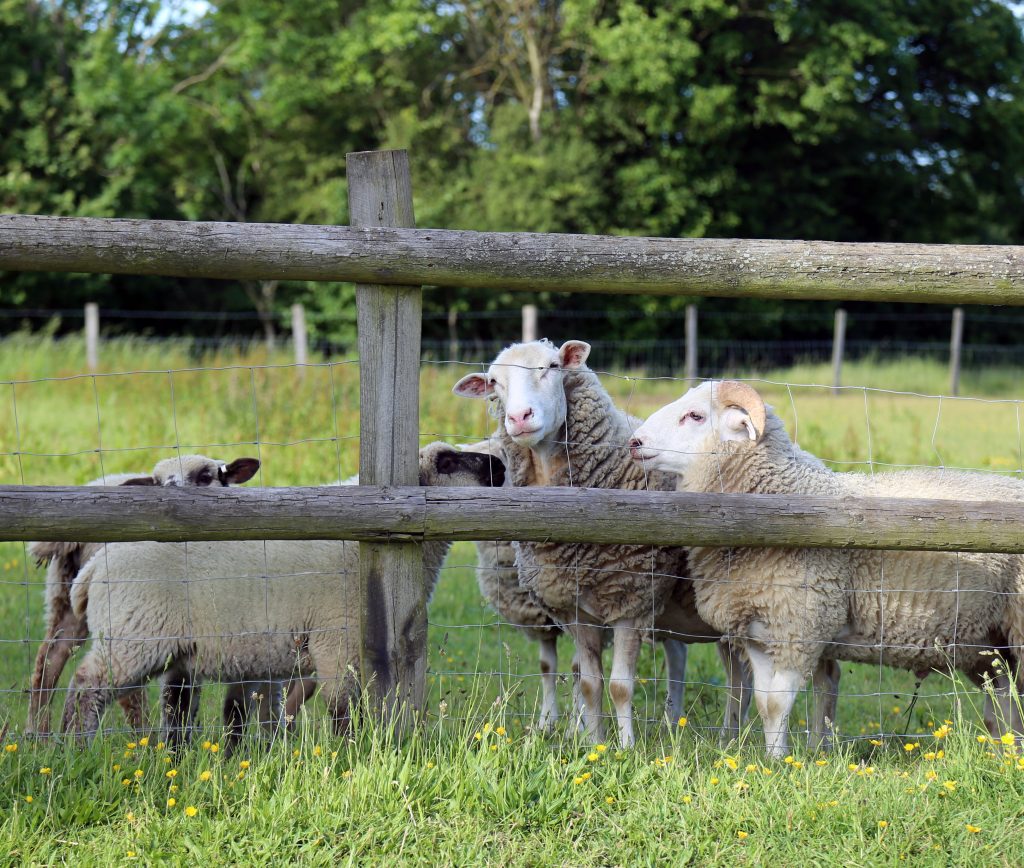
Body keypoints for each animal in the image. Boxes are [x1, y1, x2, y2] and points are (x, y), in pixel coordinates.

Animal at [26, 455, 260, 737]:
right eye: (157, 482)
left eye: (205, 477)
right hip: (132, 610)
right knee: (124, 687)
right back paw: (141, 738)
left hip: (67, 595)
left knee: (49, 660)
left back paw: (39, 735)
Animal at [61, 443, 505, 745]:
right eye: (446, 462)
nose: (500, 466)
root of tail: (93, 569)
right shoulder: (335, 641)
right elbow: (343, 711)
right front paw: (351, 758)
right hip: (133, 638)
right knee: (86, 687)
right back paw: (74, 748)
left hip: (164, 647)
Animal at [453, 340, 740, 746]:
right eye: (494, 382)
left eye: (552, 366)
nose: (520, 418)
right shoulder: (571, 611)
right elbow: (583, 679)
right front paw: (589, 740)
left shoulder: (631, 601)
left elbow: (619, 685)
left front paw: (626, 747)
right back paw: (681, 724)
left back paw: (733, 734)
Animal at [629, 380, 1024, 756]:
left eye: (695, 416)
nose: (635, 442)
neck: (777, 502)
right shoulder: (758, 632)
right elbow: (763, 704)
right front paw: (773, 759)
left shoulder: (800, 628)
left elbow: (777, 704)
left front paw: (780, 765)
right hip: (987, 646)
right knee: (1005, 704)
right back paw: (1007, 753)